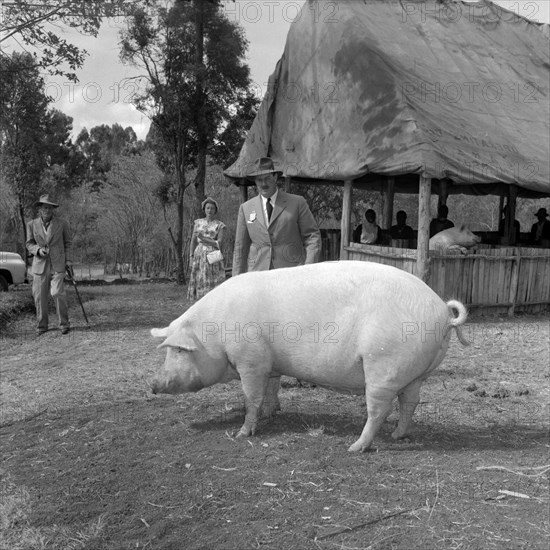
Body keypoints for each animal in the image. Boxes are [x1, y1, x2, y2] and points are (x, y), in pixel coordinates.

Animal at [151, 262, 470, 452]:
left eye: (179, 350)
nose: (153, 384)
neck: (215, 333)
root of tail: (442, 309)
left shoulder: (251, 360)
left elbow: (251, 397)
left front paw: (242, 434)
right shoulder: (270, 363)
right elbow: (272, 388)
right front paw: (271, 413)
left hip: (384, 366)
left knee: (379, 409)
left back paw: (355, 447)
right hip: (417, 372)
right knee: (410, 402)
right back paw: (397, 436)